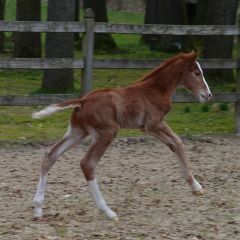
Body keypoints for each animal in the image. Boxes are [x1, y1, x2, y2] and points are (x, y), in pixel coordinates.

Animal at [32, 51, 211, 220]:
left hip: (77, 132)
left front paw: (195, 187)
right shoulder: (153, 124)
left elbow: (174, 144)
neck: (155, 90)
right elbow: (178, 143)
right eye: (197, 73)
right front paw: (197, 187)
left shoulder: (149, 128)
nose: (208, 95)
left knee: (51, 154)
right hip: (107, 132)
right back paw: (107, 211)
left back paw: (38, 208)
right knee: (87, 164)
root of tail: (82, 101)